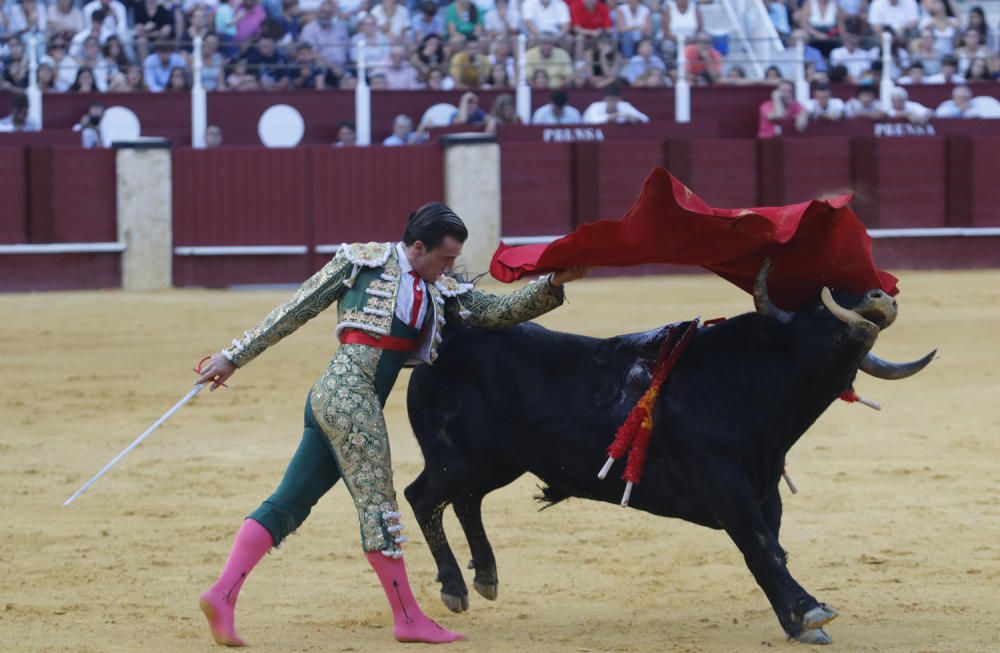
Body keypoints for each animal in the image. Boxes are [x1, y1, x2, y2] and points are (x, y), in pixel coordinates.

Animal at [402, 262, 932, 644]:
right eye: (820, 308)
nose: (880, 297)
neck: (750, 382)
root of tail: (450, 339)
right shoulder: (726, 485)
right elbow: (761, 547)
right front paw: (809, 612)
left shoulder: (764, 490)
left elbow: (771, 548)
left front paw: (796, 622)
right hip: (457, 458)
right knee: (423, 496)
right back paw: (454, 587)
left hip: (497, 463)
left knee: (466, 500)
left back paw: (486, 577)